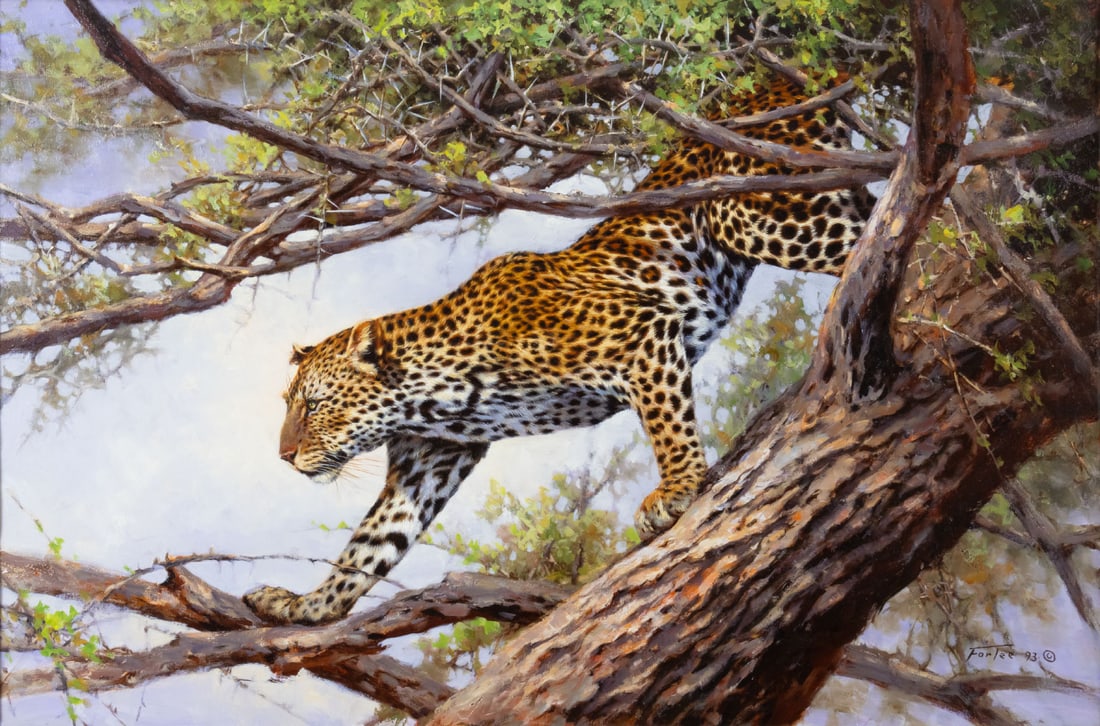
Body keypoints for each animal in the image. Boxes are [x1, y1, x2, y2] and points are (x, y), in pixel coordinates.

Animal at [244, 75, 876, 625]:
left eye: (315, 405)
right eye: (290, 405)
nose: (283, 456)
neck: (429, 395)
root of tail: (781, 83)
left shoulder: (640, 334)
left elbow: (667, 426)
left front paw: (677, 490)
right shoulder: (428, 463)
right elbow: (367, 548)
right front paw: (303, 608)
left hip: (754, 212)